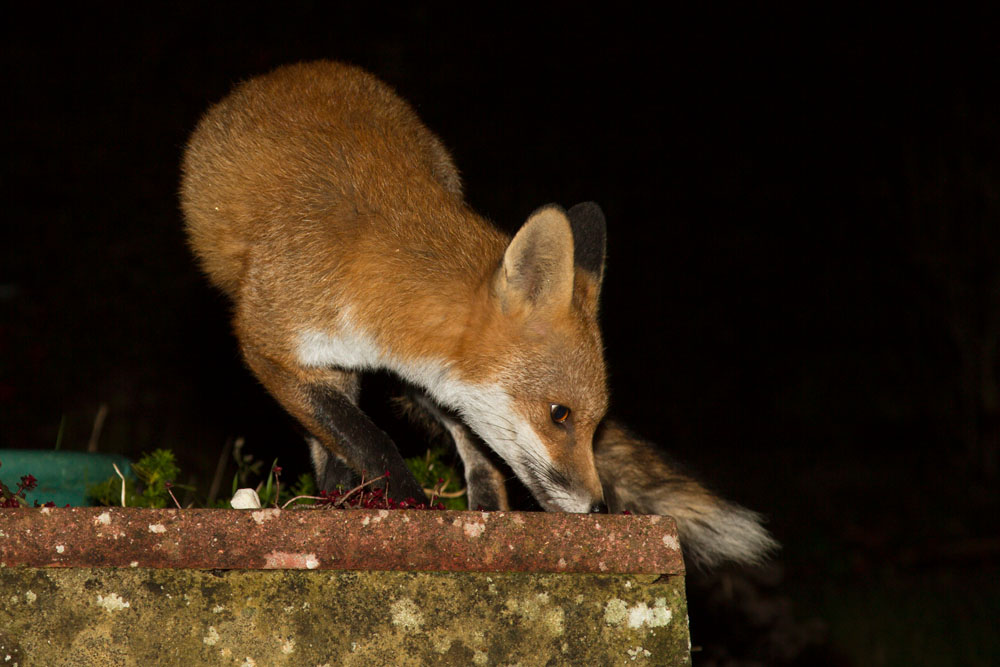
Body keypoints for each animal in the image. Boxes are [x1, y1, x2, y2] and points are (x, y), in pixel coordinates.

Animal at [181, 60, 609, 513]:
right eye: (560, 414)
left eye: (596, 423)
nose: (600, 507)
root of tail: (287, 71)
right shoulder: (270, 346)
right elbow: (367, 438)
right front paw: (406, 497)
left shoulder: (427, 377)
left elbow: (474, 447)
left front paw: (488, 506)